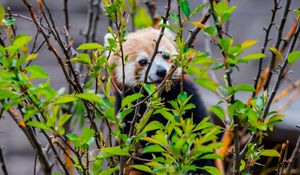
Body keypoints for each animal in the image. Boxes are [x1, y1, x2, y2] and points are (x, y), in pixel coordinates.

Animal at [104, 28, 212, 174]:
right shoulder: (127, 110)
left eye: (165, 55)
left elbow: (199, 131)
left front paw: (199, 168)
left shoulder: (187, 96)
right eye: (143, 62)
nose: (161, 71)